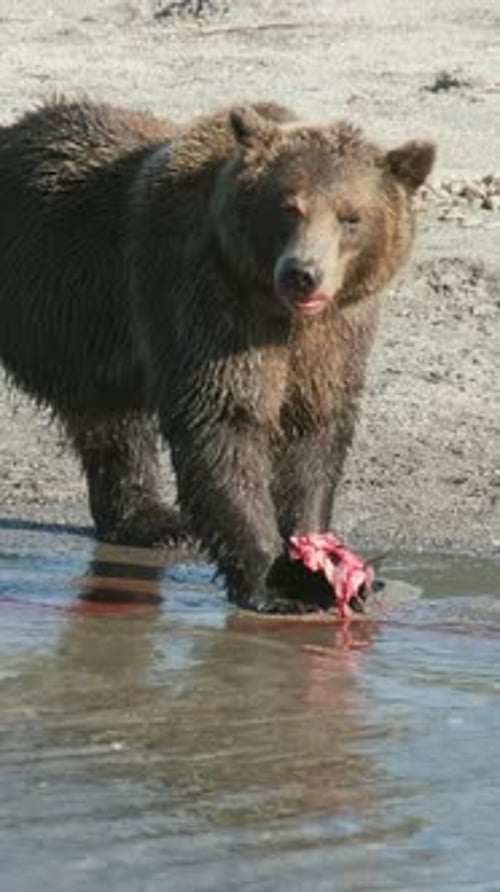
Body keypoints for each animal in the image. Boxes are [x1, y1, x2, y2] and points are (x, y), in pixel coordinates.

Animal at [0, 97, 435, 613]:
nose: (302, 274)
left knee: (112, 423)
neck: (276, 309)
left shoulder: (333, 336)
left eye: (350, 217)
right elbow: (226, 422)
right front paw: (272, 581)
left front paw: (316, 560)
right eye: (288, 207)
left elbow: (313, 433)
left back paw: (153, 522)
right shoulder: (206, 300)